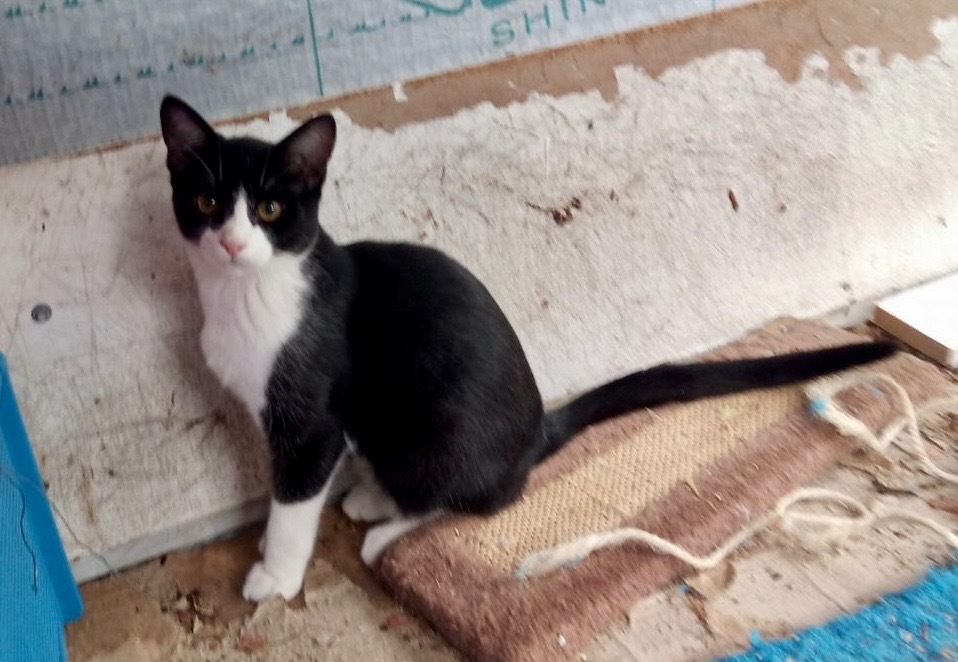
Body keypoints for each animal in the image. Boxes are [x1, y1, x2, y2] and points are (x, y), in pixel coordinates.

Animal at [159, 96, 900, 604]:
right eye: (207, 201)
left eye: (272, 211)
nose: (232, 242)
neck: (248, 294)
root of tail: (535, 432)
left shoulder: (311, 419)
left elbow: (295, 498)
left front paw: (274, 573)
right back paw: (376, 499)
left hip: (434, 436)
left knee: (481, 496)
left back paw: (384, 523)